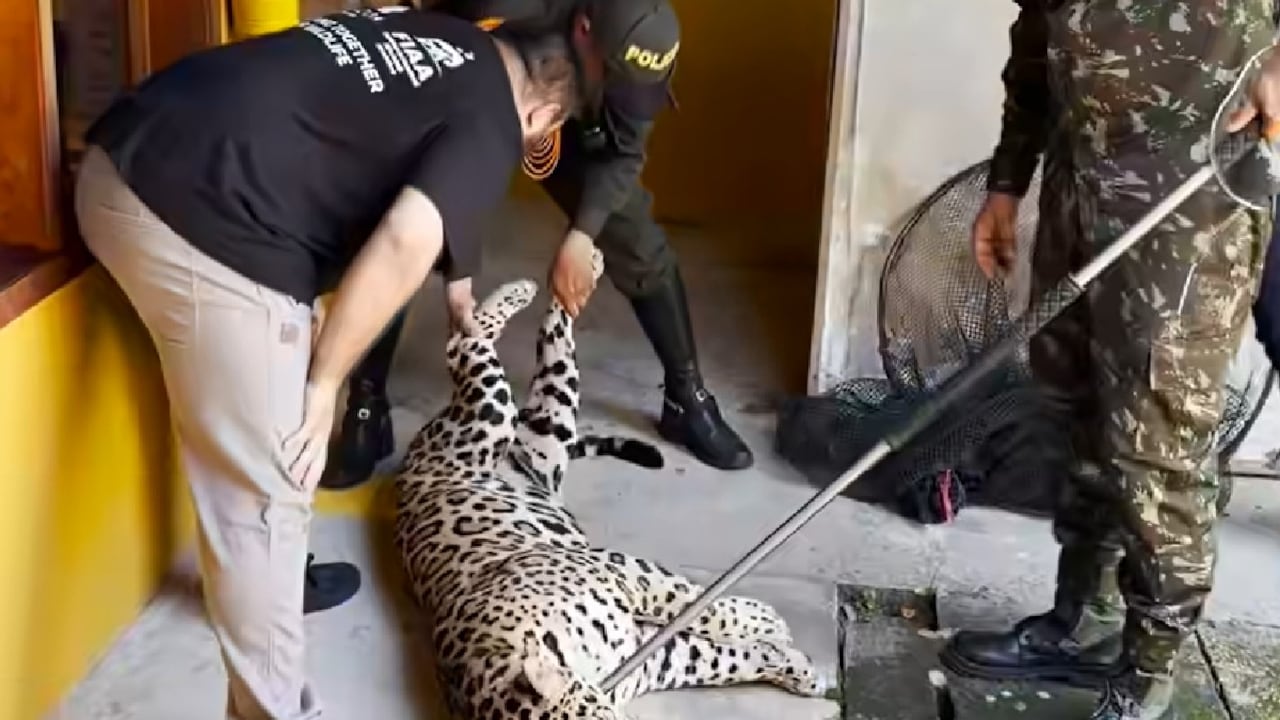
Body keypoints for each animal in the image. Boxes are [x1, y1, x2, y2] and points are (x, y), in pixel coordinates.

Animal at [391, 250, 823, 719]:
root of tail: (409, 458)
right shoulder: (651, 655)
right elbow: (720, 658)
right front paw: (795, 665)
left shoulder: (615, 569)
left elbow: (695, 604)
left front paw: (762, 620)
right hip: (548, 430)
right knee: (538, 347)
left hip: (492, 419)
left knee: (469, 346)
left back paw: (557, 275)